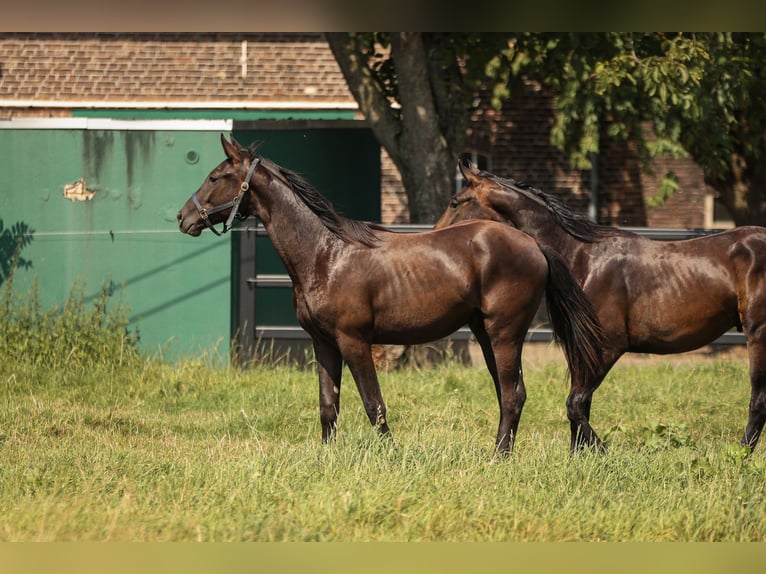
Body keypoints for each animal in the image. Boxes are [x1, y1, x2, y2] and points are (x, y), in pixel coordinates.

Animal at [177, 135, 606, 454]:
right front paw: (326, 457)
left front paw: (391, 455)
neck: (326, 254)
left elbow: (374, 405)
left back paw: (499, 458)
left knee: (513, 394)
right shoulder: (322, 343)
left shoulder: (354, 342)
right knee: (508, 394)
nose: (184, 218)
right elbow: (328, 406)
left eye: (216, 176)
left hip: (505, 334)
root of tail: (533, 244)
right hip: (485, 334)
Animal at [435, 158, 766, 453]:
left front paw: (602, 453)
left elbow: (575, 405)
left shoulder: (608, 347)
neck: (583, 258)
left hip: (757, 335)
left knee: (758, 400)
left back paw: (741, 453)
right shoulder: (582, 350)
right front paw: (578, 458)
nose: (436, 235)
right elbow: (580, 405)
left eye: (455, 202)